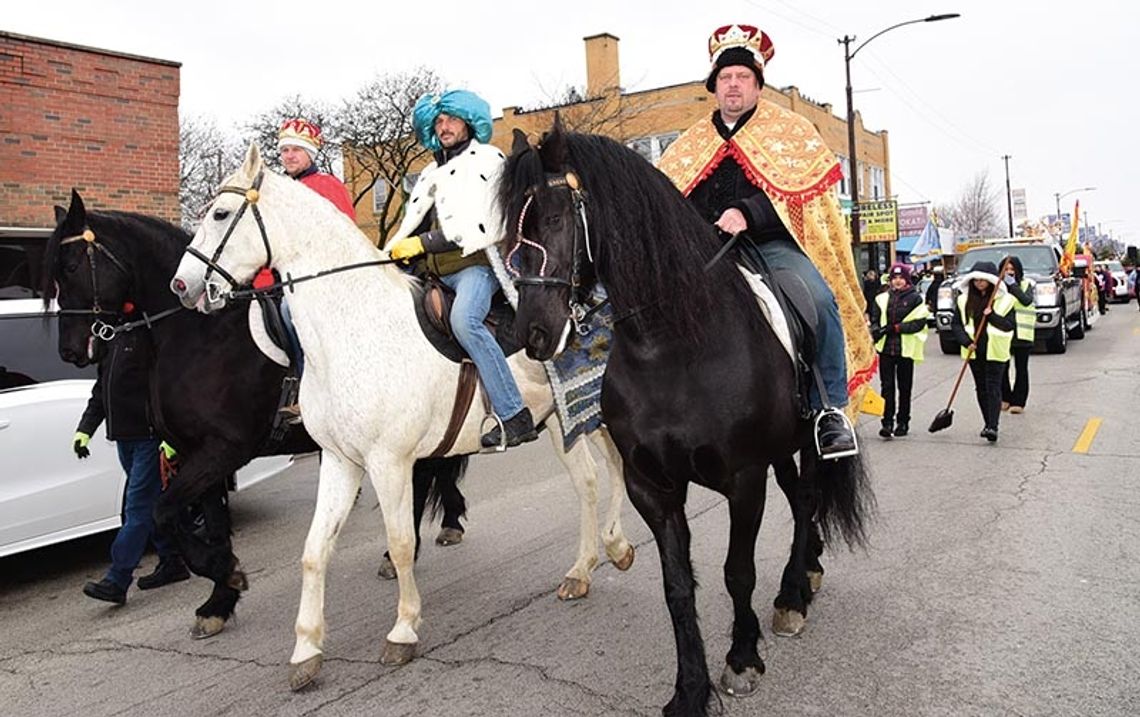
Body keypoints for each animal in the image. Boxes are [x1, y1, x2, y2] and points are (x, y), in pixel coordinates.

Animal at [43, 191, 462, 638]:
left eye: (70, 268)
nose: (70, 350)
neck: (200, 336)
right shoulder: (196, 453)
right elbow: (207, 524)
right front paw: (218, 600)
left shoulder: (225, 449)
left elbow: (163, 511)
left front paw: (227, 574)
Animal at [171, 145, 633, 688]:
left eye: (221, 214)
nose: (182, 285)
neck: (353, 324)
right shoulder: (340, 461)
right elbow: (314, 551)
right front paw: (306, 648)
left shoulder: (389, 462)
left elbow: (401, 540)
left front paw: (403, 629)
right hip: (563, 422)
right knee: (590, 478)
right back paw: (588, 566)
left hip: (581, 415)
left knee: (607, 471)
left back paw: (609, 550)